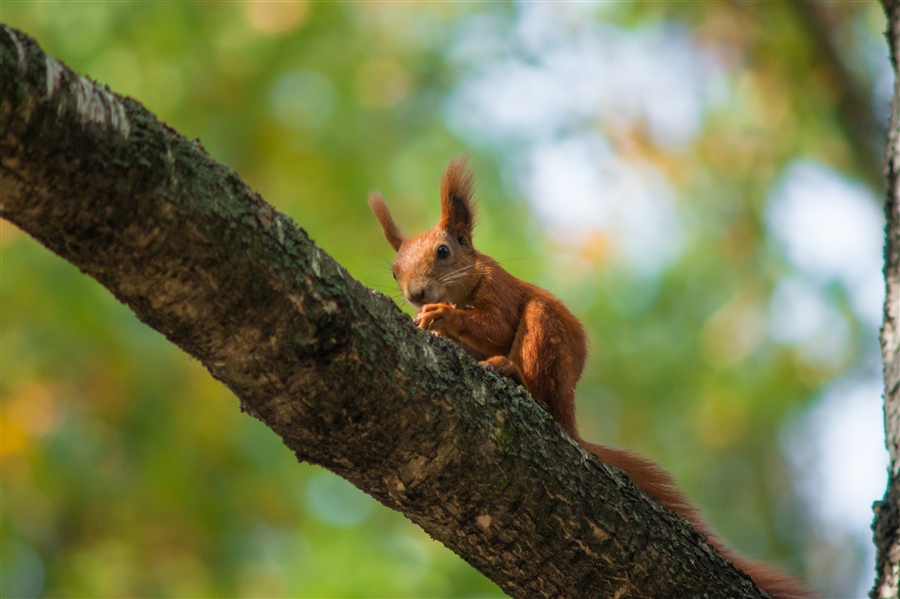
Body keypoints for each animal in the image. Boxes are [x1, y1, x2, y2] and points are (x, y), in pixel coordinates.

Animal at [370, 157, 812, 596]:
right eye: (393, 272)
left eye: (443, 251)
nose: (415, 294)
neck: (463, 286)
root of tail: (569, 417)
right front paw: (428, 323)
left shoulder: (500, 289)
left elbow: (494, 325)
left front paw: (443, 315)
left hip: (545, 337)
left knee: (538, 380)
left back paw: (509, 371)